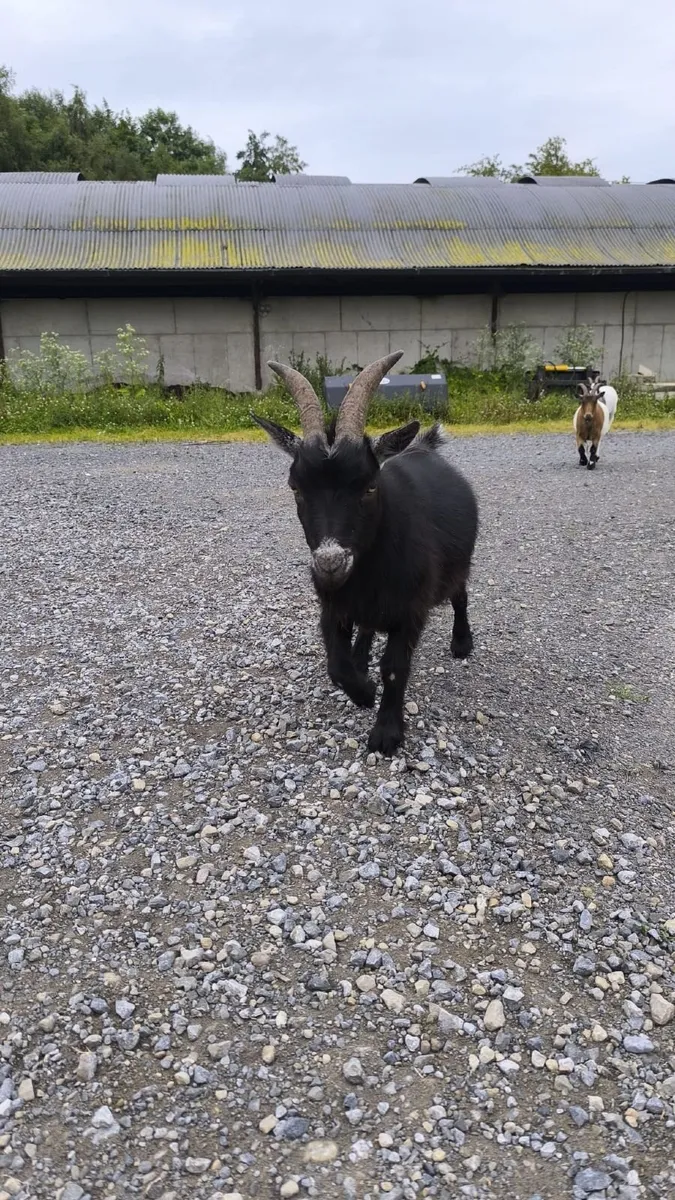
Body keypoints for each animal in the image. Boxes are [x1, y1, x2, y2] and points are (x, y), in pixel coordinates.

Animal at [252, 351, 479, 756]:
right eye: (295, 487)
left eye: (370, 485)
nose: (331, 563)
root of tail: (424, 446)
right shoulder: (332, 604)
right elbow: (336, 665)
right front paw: (363, 690)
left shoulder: (411, 610)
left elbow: (394, 667)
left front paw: (387, 732)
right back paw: (361, 655)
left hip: (459, 565)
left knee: (460, 595)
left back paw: (461, 643)